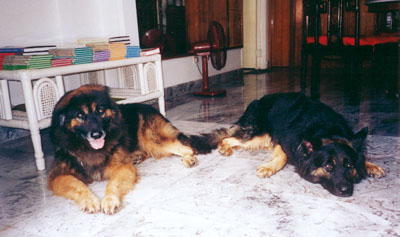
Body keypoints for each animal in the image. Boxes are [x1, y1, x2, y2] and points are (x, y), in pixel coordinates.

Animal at [48, 84, 209, 214]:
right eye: (80, 115)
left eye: (100, 110)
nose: (97, 134)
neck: (87, 147)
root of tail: (152, 108)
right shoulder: (58, 176)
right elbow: (78, 185)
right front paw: (89, 200)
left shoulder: (122, 167)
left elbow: (113, 183)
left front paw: (110, 200)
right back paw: (136, 157)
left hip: (151, 140)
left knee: (185, 147)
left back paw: (189, 159)